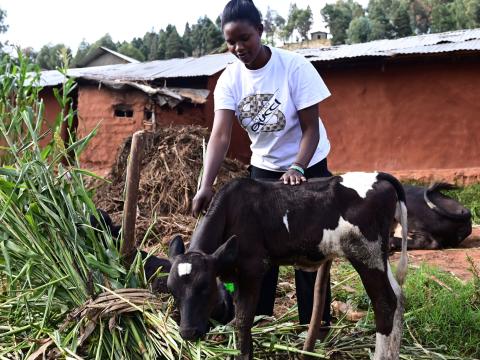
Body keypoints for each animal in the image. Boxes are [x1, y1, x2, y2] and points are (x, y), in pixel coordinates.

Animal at [167, 173, 406, 358]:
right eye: (172, 291)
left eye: (205, 287)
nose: (187, 333)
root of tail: (378, 176)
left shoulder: (253, 267)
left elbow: (243, 320)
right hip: (379, 255)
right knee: (398, 296)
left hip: (365, 253)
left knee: (385, 303)